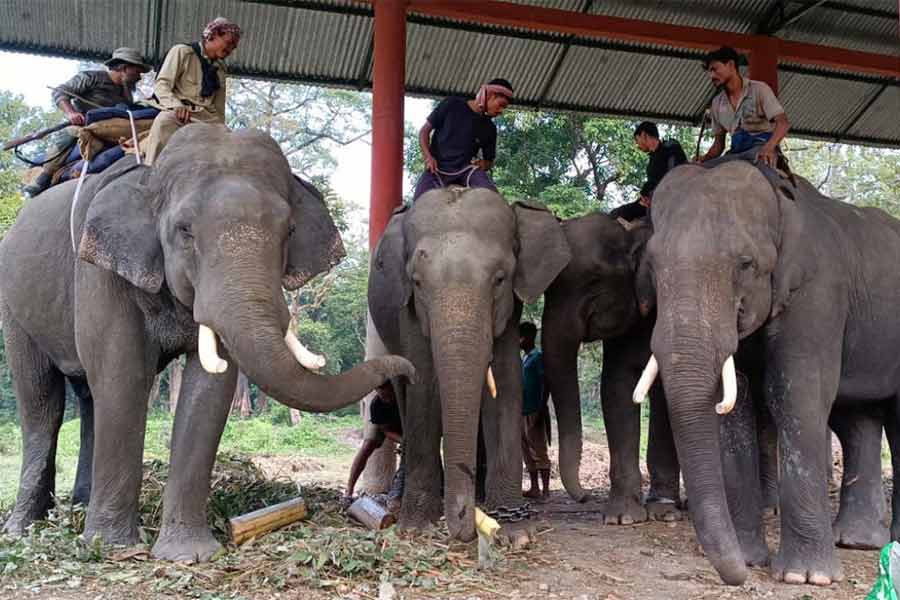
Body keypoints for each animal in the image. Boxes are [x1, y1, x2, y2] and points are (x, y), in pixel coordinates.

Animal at [0, 123, 414, 564]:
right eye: (184, 230)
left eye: (288, 231)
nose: (407, 371)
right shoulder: (100, 272)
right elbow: (123, 376)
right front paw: (112, 548)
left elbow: (211, 390)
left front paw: (187, 555)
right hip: (14, 303)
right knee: (42, 402)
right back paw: (25, 527)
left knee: (88, 400)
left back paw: (77, 508)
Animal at [370, 189, 572, 544]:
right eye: (417, 282)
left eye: (500, 279)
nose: (465, 531)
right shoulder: (408, 311)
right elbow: (423, 386)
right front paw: (416, 529)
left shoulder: (510, 313)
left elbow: (505, 386)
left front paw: (514, 530)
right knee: (404, 402)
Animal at [640, 159, 900, 584]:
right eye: (652, 264)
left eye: (745, 264)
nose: (736, 577)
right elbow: (736, 409)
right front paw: (750, 560)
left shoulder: (818, 290)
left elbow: (795, 396)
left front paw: (805, 577)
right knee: (857, 420)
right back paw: (857, 541)